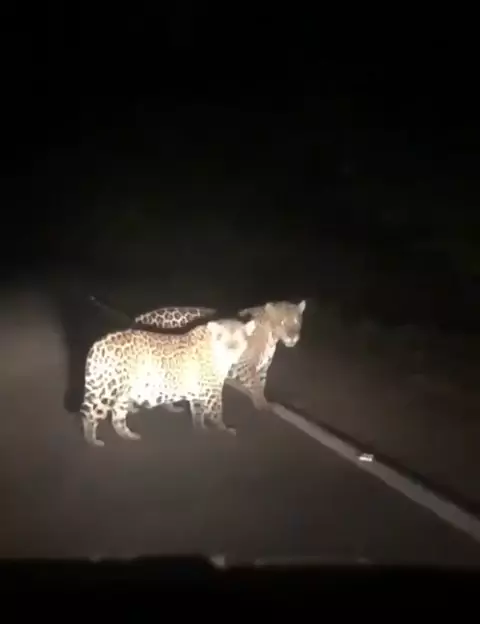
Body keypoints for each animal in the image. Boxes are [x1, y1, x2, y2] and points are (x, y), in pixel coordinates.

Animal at [80, 317, 257, 447]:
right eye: (221, 338)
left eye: (239, 339)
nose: (230, 349)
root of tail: (98, 344)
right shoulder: (212, 392)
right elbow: (217, 413)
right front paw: (224, 430)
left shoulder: (199, 393)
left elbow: (198, 414)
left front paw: (201, 430)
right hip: (107, 390)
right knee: (90, 415)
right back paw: (92, 441)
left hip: (121, 393)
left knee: (117, 418)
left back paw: (129, 436)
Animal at [133, 300, 307, 411]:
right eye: (283, 322)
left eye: (297, 322)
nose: (293, 337)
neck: (271, 337)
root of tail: (140, 317)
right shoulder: (245, 367)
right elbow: (256, 386)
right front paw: (263, 406)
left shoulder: (262, 369)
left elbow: (261, 386)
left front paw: (263, 403)